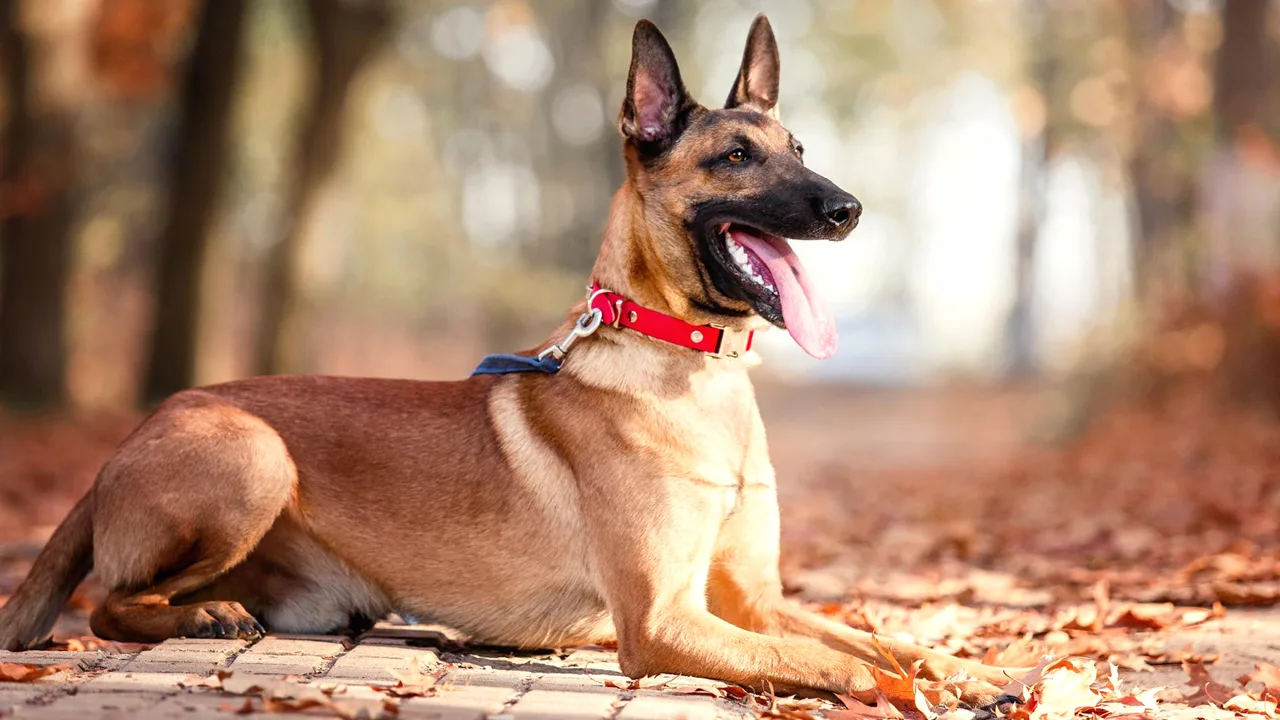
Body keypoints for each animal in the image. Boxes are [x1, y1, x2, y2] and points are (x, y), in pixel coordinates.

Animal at [0, 15, 1018, 707]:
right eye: (735, 156)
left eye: (799, 147)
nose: (848, 208)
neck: (689, 371)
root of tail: (134, 435)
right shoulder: (665, 620)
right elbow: (830, 658)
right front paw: (930, 691)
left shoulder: (754, 600)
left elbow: (880, 637)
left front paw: (971, 667)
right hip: (253, 457)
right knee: (109, 602)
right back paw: (192, 617)